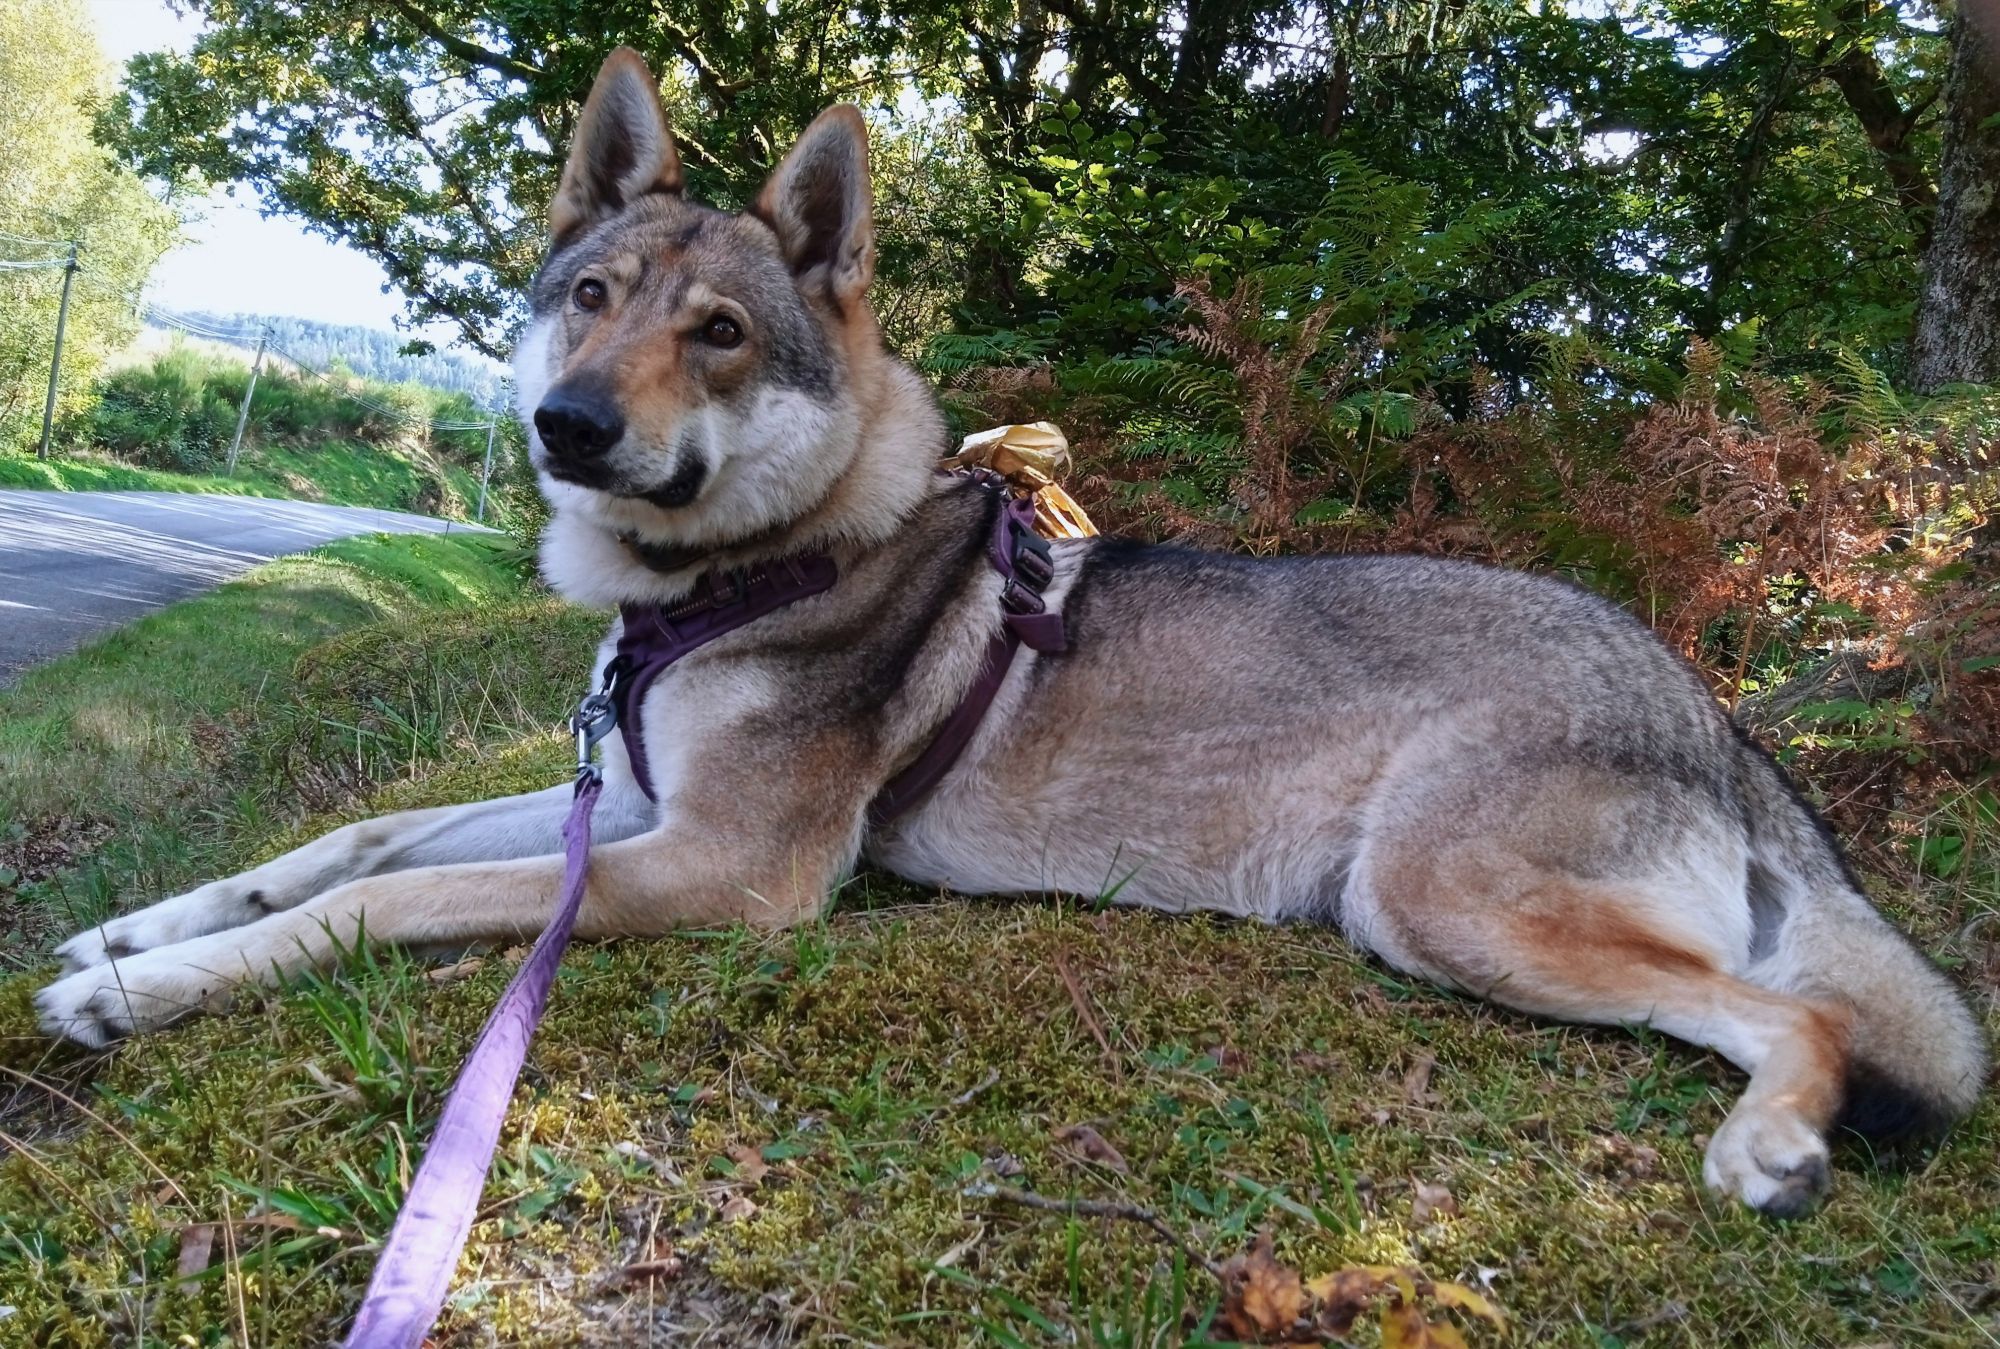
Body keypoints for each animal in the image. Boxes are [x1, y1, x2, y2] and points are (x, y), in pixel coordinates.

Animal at [35, 52, 1984, 1216]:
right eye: (588, 299)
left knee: (1804, 1015)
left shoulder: (722, 870)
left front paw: (141, 990)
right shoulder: (621, 806)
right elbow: (358, 837)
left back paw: (1775, 1139)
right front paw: (139, 923)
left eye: (719, 333)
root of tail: (1704, 700)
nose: (567, 427)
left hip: (1435, 898)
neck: (739, 573)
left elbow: (381, 902)